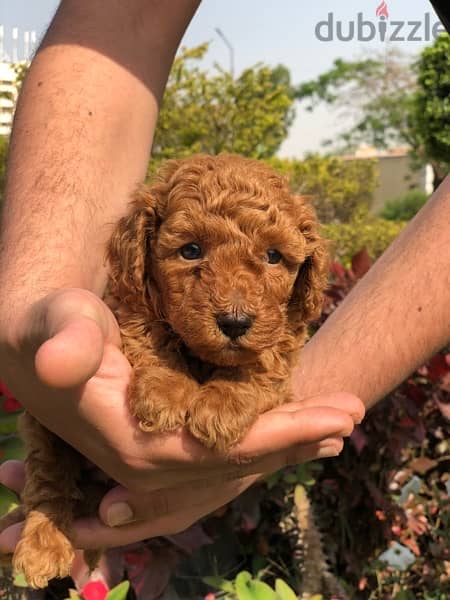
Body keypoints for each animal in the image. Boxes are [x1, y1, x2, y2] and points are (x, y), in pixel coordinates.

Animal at [3, 154, 328, 584]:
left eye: (273, 256)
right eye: (191, 250)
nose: (235, 322)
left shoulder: (282, 341)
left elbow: (259, 364)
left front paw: (221, 406)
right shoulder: (130, 305)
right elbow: (152, 340)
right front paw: (165, 393)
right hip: (47, 425)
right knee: (48, 478)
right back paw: (41, 546)